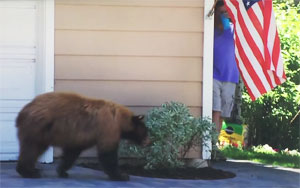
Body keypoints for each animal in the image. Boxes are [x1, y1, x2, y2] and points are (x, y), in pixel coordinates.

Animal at [15, 92, 149, 181]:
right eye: (146, 131)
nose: (148, 141)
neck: (119, 118)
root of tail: (22, 112)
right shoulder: (108, 128)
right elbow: (108, 153)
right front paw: (121, 175)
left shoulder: (79, 137)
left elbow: (72, 152)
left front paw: (62, 170)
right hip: (38, 127)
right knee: (31, 149)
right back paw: (29, 172)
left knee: (34, 149)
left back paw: (32, 170)